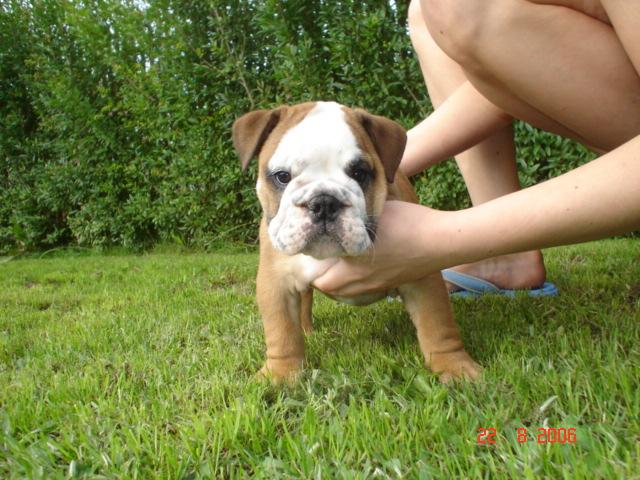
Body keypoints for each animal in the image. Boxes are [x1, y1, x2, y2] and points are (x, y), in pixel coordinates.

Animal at [232, 101, 481, 383]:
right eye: (282, 176)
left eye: (359, 173)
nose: (324, 202)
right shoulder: (276, 283)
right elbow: (281, 331)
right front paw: (281, 375)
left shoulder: (422, 276)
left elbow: (437, 323)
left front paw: (454, 366)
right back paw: (306, 330)